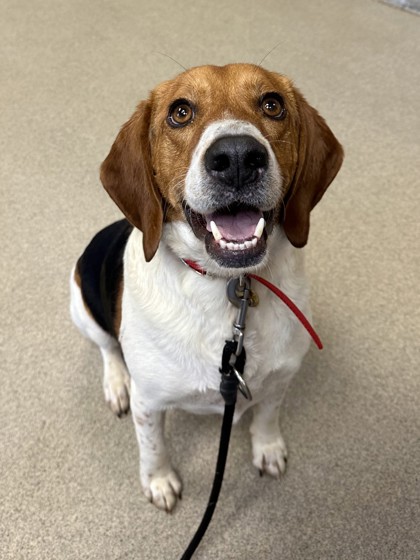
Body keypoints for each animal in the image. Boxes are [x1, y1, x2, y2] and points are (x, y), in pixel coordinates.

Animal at [69, 62, 344, 512]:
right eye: (180, 112)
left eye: (272, 104)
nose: (238, 158)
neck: (229, 289)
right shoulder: (150, 401)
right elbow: (153, 445)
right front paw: (159, 481)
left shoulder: (281, 378)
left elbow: (267, 415)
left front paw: (267, 448)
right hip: (79, 302)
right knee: (107, 347)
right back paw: (116, 384)